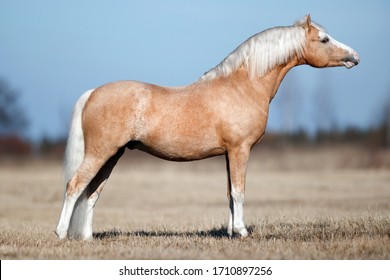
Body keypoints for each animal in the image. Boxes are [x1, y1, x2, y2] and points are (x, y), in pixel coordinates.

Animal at [54, 15, 360, 240]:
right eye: (324, 39)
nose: (354, 56)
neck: (243, 86)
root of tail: (93, 92)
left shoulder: (228, 153)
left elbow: (229, 193)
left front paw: (230, 232)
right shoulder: (240, 150)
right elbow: (239, 191)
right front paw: (242, 231)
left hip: (112, 155)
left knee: (92, 193)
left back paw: (88, 237)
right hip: (100, 152)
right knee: (75, 186)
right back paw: (61, 233)